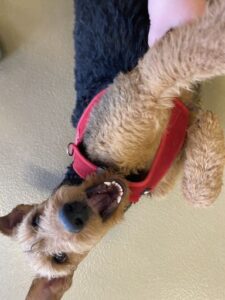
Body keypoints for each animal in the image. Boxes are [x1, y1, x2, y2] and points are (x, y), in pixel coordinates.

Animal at [0, 0, 225, 298]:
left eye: (35, 219)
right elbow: (197, 195)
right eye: (59, 258)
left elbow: (188, 50)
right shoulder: (148, 106)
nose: (72, 216)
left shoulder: (140, 90)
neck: (120, 174)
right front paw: (208, 131)